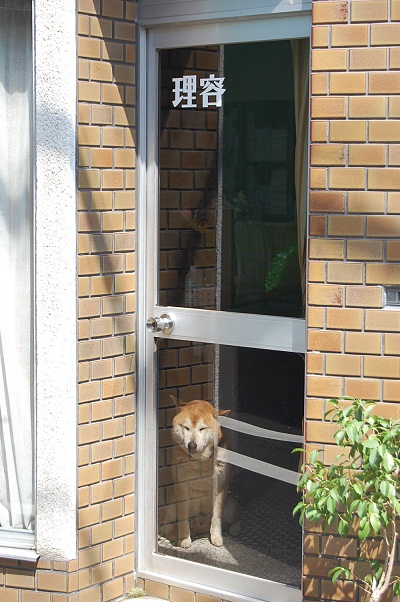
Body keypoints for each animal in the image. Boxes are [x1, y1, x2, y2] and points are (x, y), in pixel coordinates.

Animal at [170, 397, 240, 548]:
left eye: (202, 428)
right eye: (185, 427)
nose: (192, 445)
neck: (200, 462)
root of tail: (200, 526)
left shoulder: (220, 485)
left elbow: (216, 517)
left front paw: (216, 537)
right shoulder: (182, 485)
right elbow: (183, 517)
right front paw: (184, 538)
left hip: (231, 505)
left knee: (233, 519)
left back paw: (234, 529)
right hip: (171, 506)